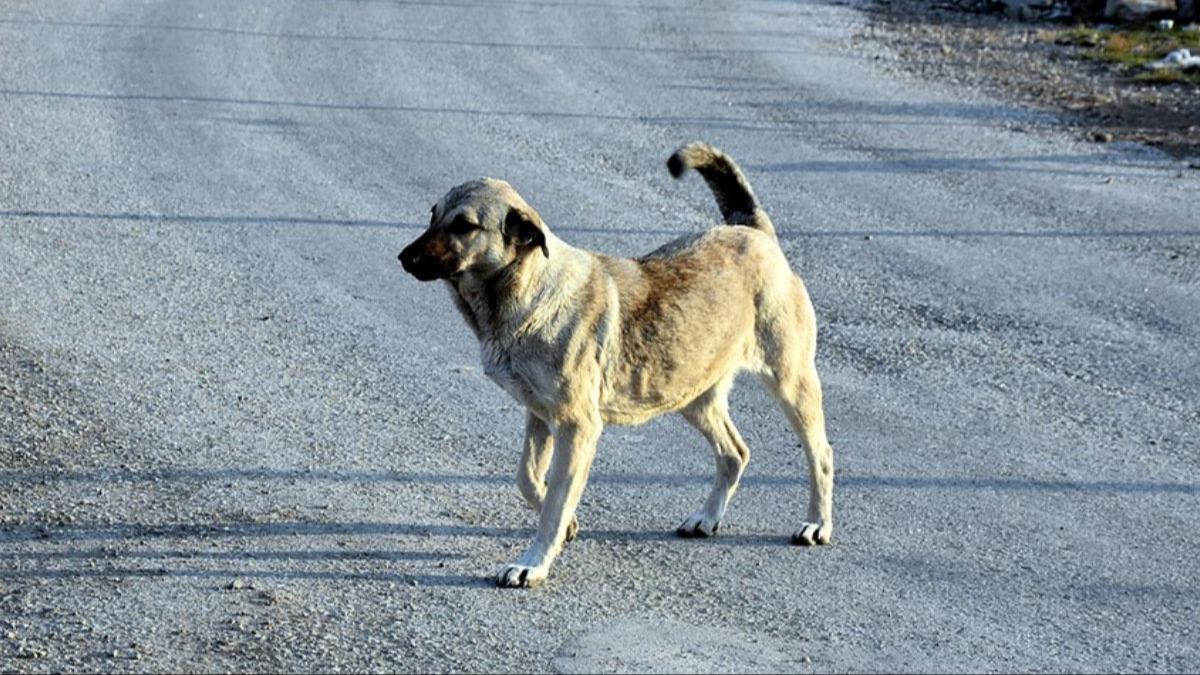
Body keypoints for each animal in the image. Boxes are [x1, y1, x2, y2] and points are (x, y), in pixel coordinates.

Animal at [400, 141, 835, 583]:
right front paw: (566, 524)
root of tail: (753, 231)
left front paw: (534, 563)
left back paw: (818, 524)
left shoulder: (576, 428)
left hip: (791, 383)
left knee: (821, 454)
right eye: (433, 215)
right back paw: (708, 517)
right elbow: (527, 478)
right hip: (692, 395)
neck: (530, 291)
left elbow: (554, 506)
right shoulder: (539, 416)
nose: (404, 257)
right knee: (735, 453)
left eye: (464, 225)